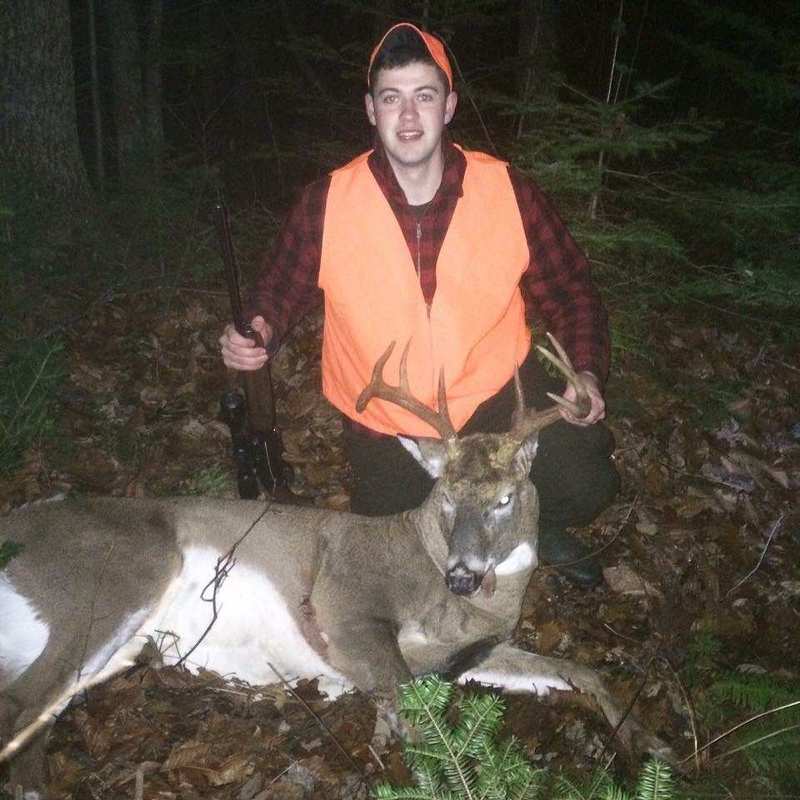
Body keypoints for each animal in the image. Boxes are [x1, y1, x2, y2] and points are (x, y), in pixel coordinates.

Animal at [0, 335, 673, 799]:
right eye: (446, 495)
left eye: (505, 498)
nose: (461, 573)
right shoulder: (346, 599)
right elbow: (409, 706)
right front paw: (412, 762)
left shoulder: (467, 653)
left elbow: (578, 669)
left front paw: (653, 741)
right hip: (116, 578)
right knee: (24, 706)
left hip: (111, 645)